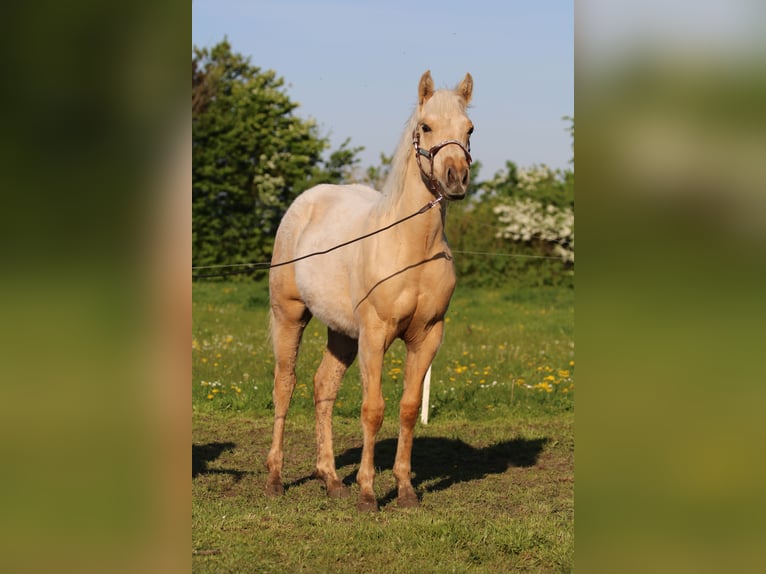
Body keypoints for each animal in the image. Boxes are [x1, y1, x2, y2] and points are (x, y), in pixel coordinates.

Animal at [268, 72, 476, 512]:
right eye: (425, 127)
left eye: (469, 129)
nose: (455, 179)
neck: (411, 246)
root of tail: (305, 202)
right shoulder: (375, 335)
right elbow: (373, 410)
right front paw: (367, 493)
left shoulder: (427, 336)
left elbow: (409, 408)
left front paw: (405, 489)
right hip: (290, 314)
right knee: (285, 386)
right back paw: (275, 478)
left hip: (342, 334)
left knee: (323, 387)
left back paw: (330, 479)